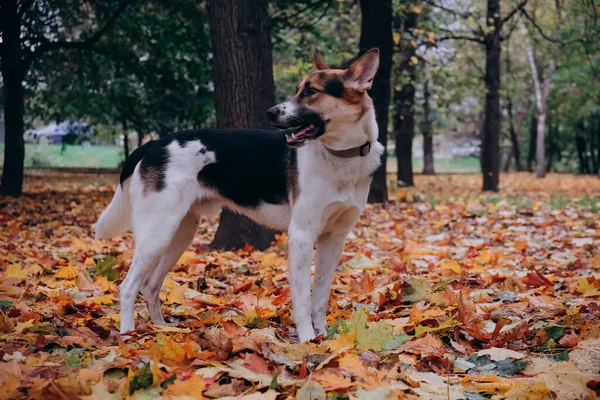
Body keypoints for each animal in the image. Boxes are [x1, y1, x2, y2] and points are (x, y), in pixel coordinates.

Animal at [95, 47, 382, 340]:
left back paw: (163, 330)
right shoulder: (302, 235)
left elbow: (320, 296)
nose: (271, 112)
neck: (340, 157)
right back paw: (128, 336)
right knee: (129, 286)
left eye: (311, 91)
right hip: (158, 232)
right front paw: (307, 340)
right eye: (299, 89)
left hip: (179, 232)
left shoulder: (333, 239)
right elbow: (303, 299)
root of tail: (153, 144)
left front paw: (324, 338)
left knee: (150, 285)